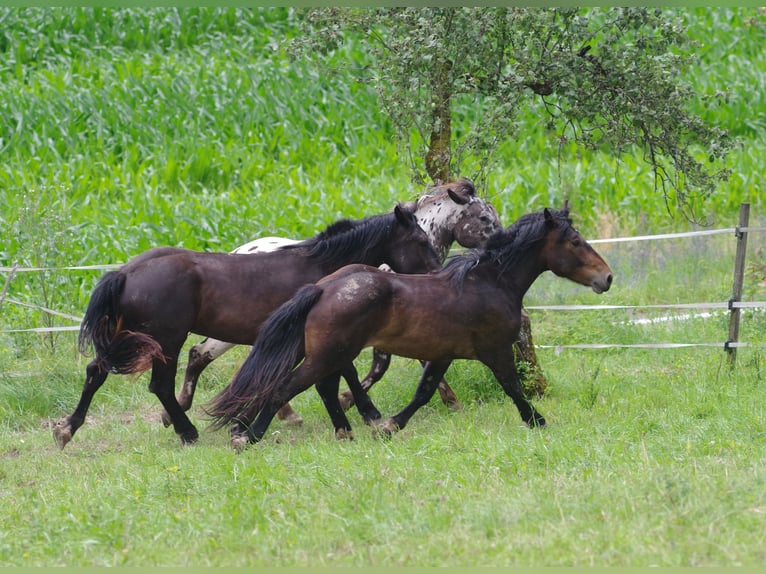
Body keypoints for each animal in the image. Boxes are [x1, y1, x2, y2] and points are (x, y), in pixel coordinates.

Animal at [54, 206, 440, 450]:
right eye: (421, 242)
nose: (437, 274)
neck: (320, 268)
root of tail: (124, 273)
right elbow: (340, 374)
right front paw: (370, 415)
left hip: (129, 338)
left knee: (95, 372)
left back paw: (67, 429)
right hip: (165, 340)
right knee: (159, 386)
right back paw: (187, 432)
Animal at [176, 180, 504, 428]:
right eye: (484, 218)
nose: (501, 242)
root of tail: (241, 249)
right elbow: (379, 369)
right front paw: (359, 406)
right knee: (203, 354)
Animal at [207, 207, 616, 450]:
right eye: (575, 241)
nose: (607, 277)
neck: (490, 282)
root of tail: (324, 286)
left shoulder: (443, 354)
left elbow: (424, 392)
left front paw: (390, 426)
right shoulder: (495, 350)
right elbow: (513, 387)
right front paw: (537, 421)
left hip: (331, 354)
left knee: (323, 387)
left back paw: (344, 431)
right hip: (328, 354)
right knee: (285, 388)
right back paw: (248, 436)